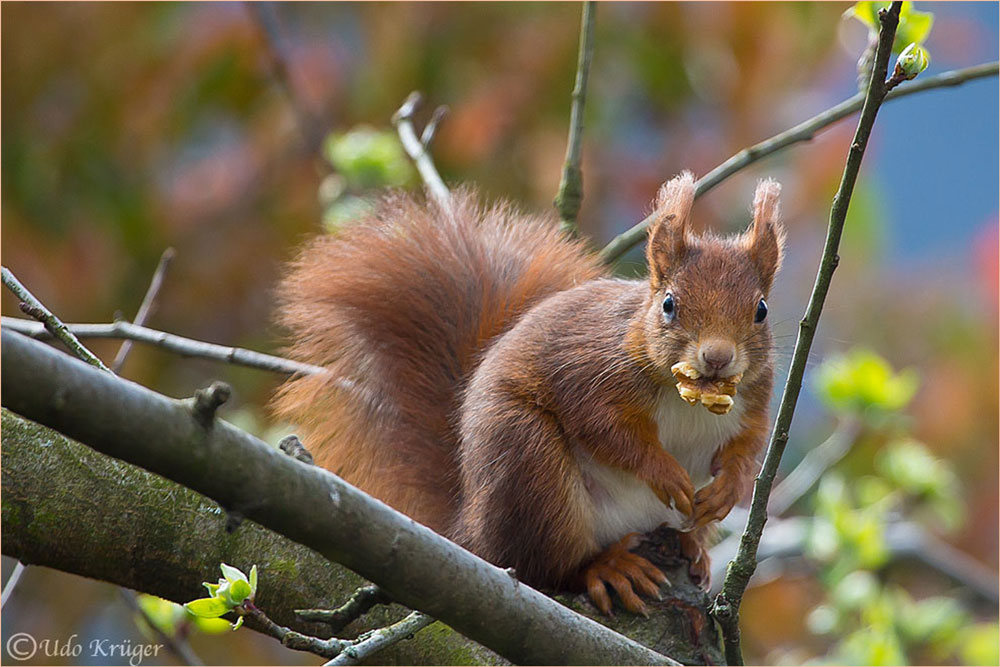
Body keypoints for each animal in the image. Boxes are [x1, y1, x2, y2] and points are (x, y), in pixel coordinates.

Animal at [272, 171, 780, 616]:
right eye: (669, 304)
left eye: (761, 309)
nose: (717, 357)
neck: (686, 395)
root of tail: (468, 531)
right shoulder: (590, 373)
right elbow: (607, 430)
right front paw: (665, 472)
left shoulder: (753, 401)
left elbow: (748, 446)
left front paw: (729, 489)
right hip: (527, 462)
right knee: (546, 568)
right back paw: (605, 567)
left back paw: (694, 547)